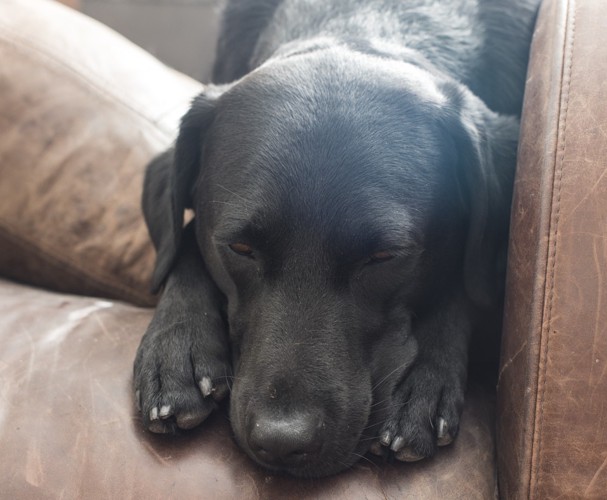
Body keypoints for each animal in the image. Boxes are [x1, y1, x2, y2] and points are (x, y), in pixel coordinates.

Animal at [132, 0, 536, 478]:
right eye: (240, 248)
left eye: (384, 256)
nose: (282, 442)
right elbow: (186, 239)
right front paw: (177, 345)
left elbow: (468, 285)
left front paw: (423, 379)